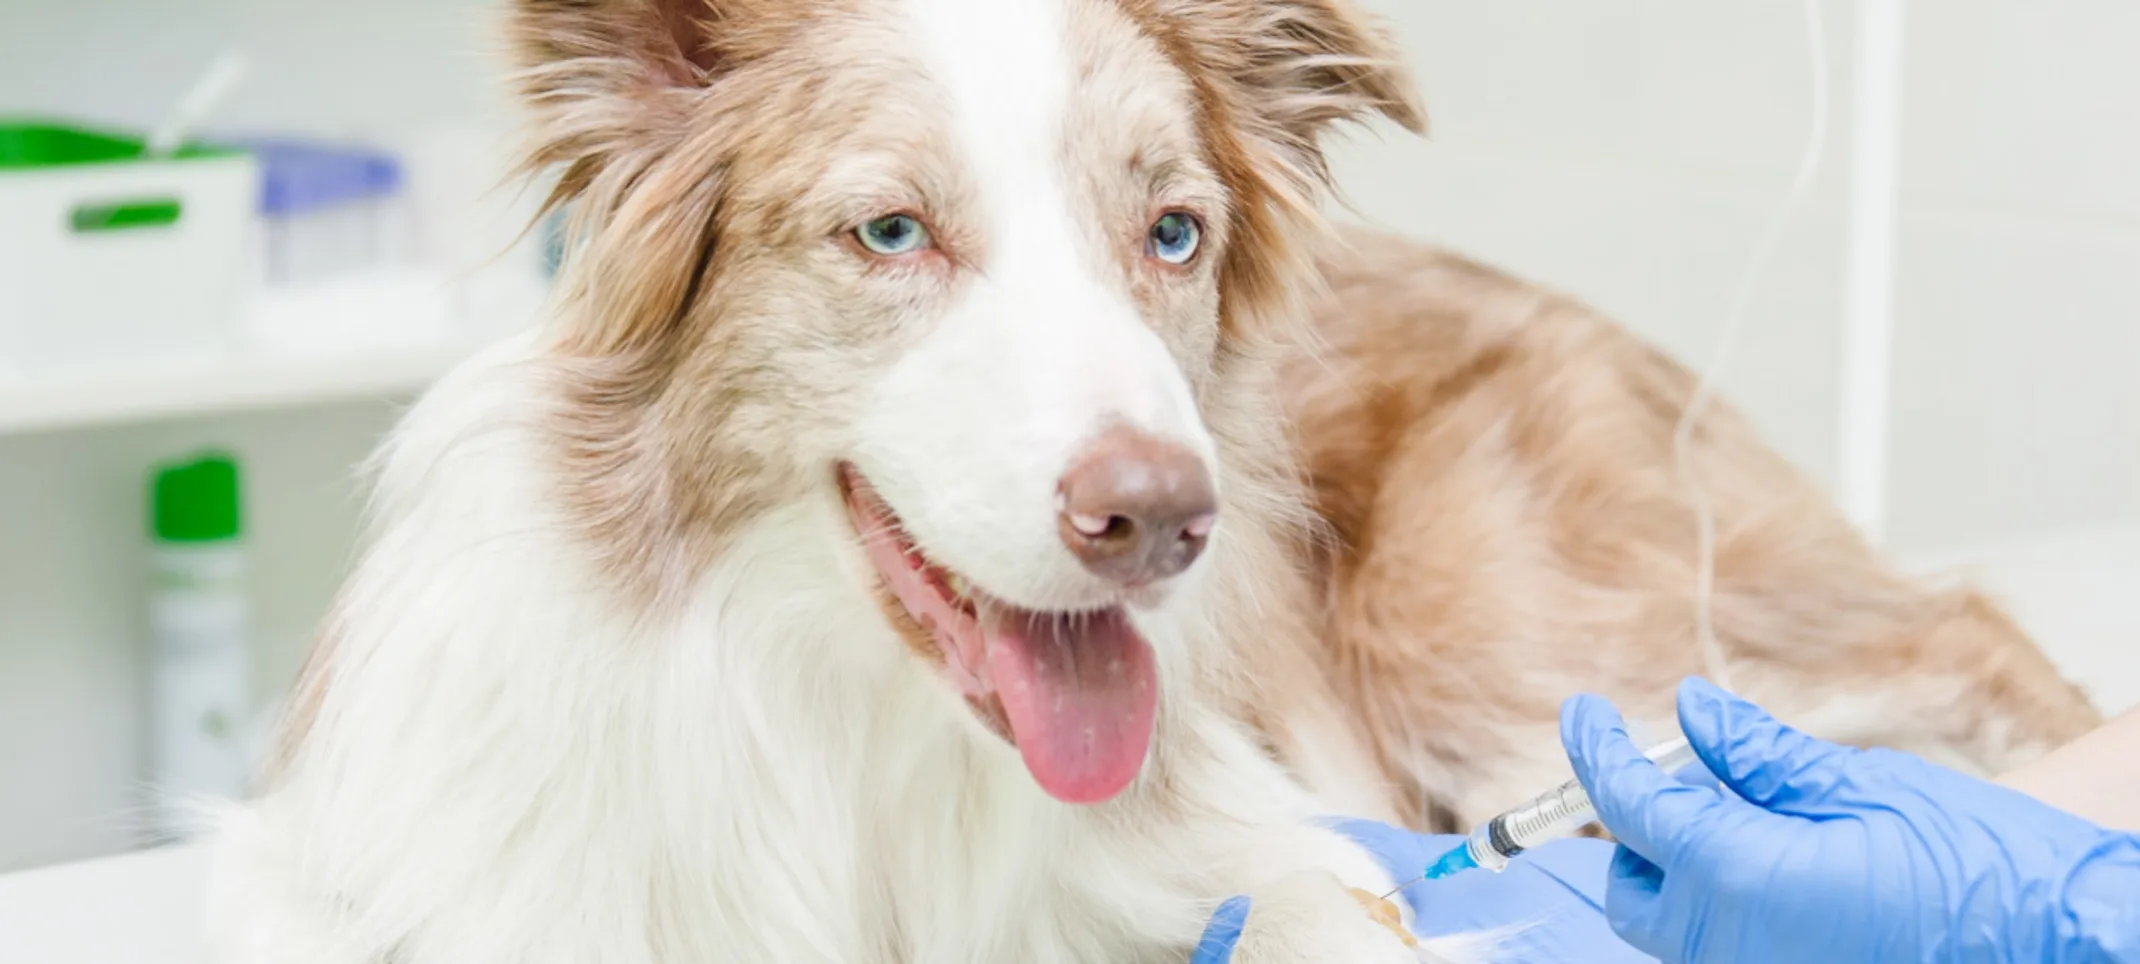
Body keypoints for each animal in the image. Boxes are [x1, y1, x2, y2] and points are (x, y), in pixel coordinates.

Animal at [204, 1, 2105, 964]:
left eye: (1173, 232)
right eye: (890, 231)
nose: (1161, 519)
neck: (855, 738)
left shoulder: (1254, 844)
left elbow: (1333, 909)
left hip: (1502, 630)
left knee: (1972, 633)